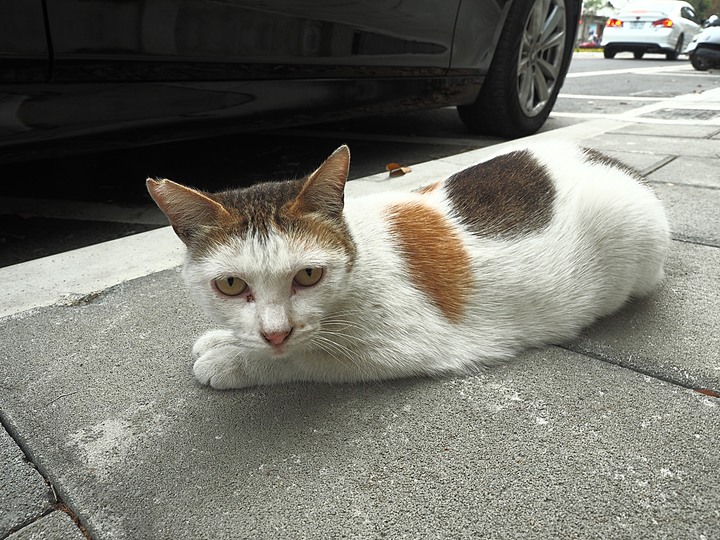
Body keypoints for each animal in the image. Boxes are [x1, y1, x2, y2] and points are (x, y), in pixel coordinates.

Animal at [145, 141, 668, 390]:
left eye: (308, 276)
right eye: (232, 285)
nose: (274, 333)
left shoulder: (406, 346)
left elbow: (307, 357)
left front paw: (232, 360)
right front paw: (226, 339)